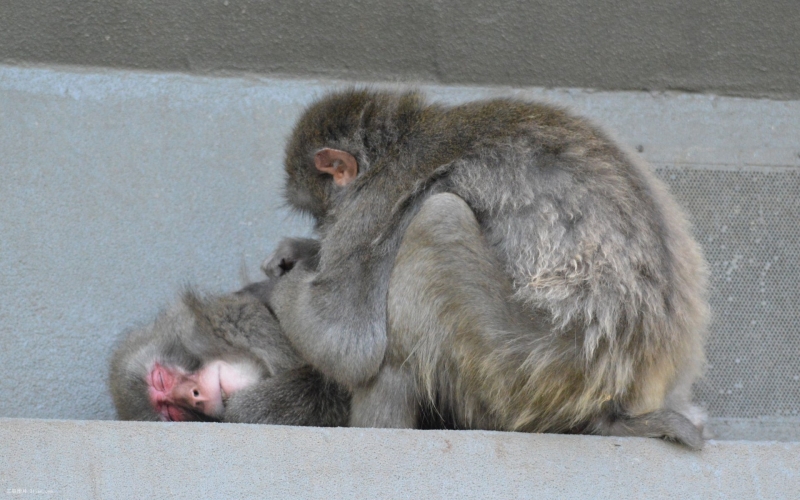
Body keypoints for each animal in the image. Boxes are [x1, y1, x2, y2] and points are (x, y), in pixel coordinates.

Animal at [266, 90, 708, 450]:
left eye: (318, 212)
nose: (322, 229)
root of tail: (617, 402)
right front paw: (297, 254)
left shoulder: (376, 202)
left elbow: (346, 344)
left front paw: (286, 281)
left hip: (523, 368)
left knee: (437, 220)